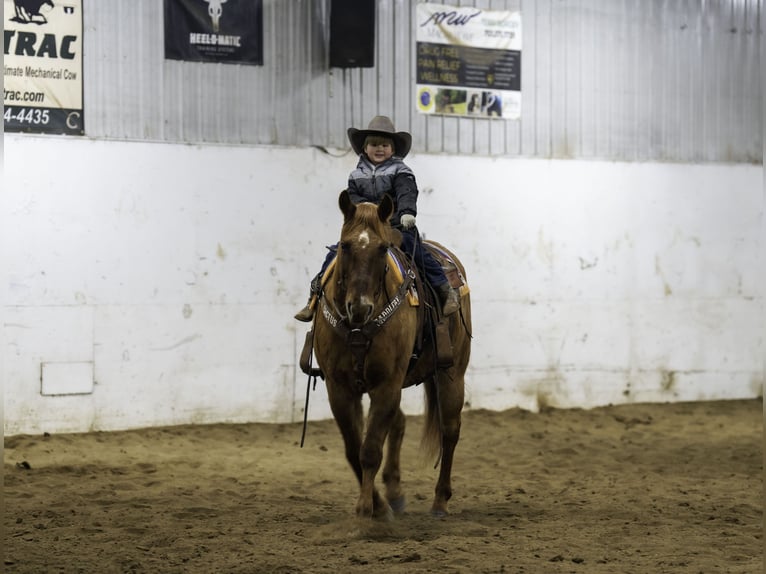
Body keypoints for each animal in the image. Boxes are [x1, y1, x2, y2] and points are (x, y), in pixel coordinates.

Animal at [312, 190, 474, 520]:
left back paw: (440, 502)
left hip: (452, 373)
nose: (359, 307)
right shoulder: (339, 388)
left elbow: (370, 449)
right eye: (345, 245)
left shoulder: (386, 384)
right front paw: (380, 503)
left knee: (450, 430)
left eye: (383, 247)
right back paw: (396, 492)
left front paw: (368, 510)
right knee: (398, 424)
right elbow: (354, 450)